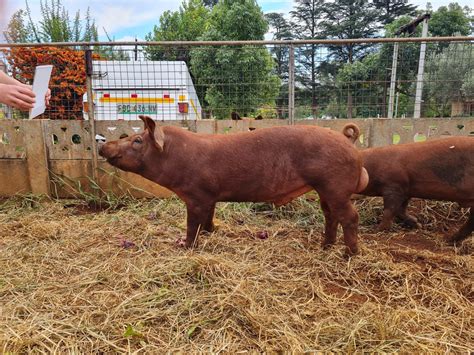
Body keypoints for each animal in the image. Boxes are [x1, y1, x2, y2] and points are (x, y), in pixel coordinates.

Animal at [98, 115, 368, 254]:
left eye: (137, 140)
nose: (102, 145)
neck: (177, 157)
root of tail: (349, 142)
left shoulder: (196, 195)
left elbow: (192, 224)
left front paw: (185, 246)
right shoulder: (210, 196)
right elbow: (209, 217)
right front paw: (211, 231)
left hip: (335, 185)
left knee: (350, 216)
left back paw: (349, 254)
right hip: (324, 188)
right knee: (330, 215)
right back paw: (325, 246)